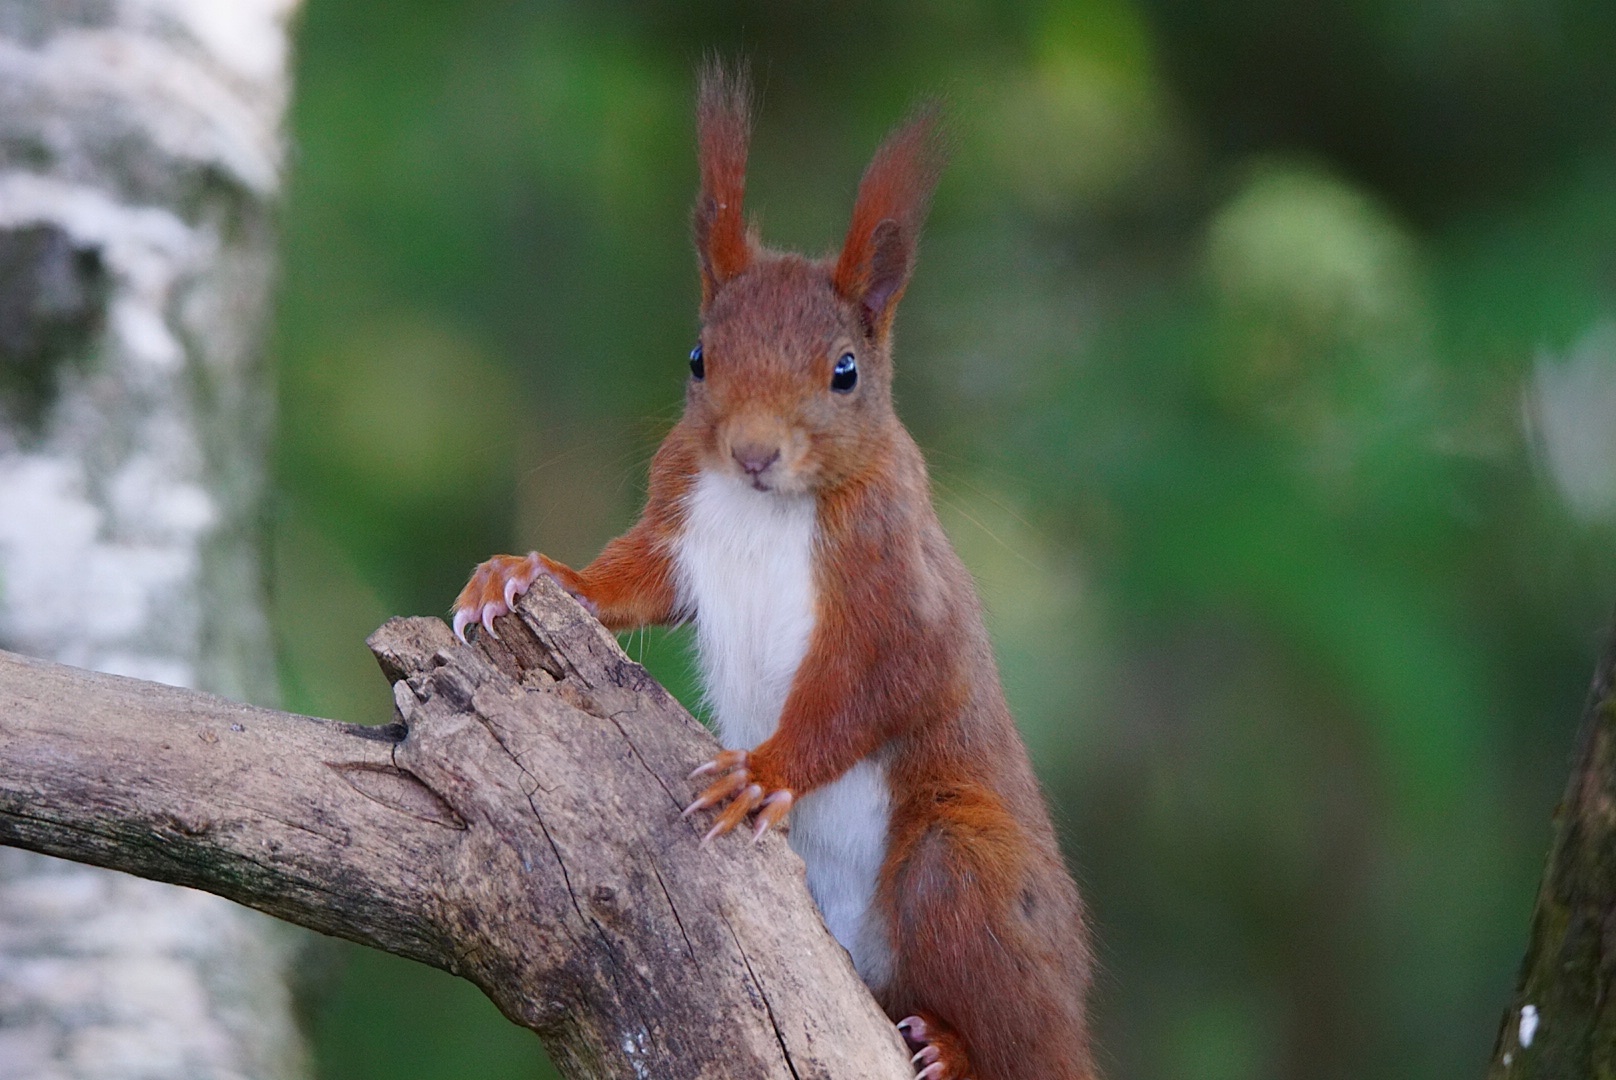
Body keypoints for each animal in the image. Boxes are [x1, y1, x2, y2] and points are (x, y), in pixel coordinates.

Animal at [455, 63, 1098, 1080]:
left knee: (1014, 1030)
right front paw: (521, 573)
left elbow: (881, 680)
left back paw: (952, 1046)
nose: (753, 453)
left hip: (968, 870)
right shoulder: (679, 524)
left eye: (845, 370)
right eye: (696, 357)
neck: (762, 509)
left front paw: (762, 772)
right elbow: (627, 585)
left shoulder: (893, 576)